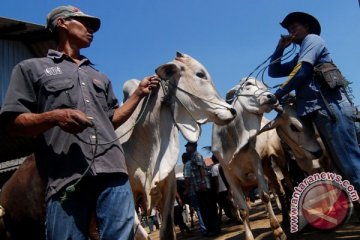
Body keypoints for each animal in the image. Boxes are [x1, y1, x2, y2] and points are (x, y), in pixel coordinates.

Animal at [211, 77, 286, 240]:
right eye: (248, 84)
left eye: (264, 87)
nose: (272, 97)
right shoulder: (229, 175)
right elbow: (243, 209)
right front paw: (249, 236)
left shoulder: (256, 163)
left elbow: (265, 196)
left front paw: (277, 230)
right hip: (267, 167)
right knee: (278, 188)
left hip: (279, 159)